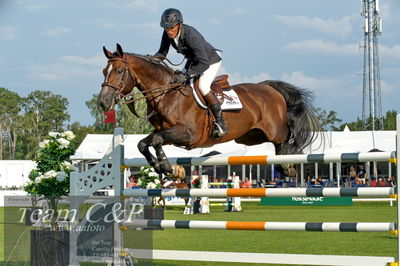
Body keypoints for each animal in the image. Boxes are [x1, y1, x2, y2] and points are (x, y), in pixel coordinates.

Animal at [98, 44, 320, 176]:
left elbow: (156, 140)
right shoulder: (166, 131)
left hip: (274, 131)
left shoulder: (187, 134)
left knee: (288, 139)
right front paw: (161, 166)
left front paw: (166, 166)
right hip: (250, 136)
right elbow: (145, 143)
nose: (103, 102)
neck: (167, 95)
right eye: (103, 71)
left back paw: (288, 165)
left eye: (119, 71)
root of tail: (268, 87)